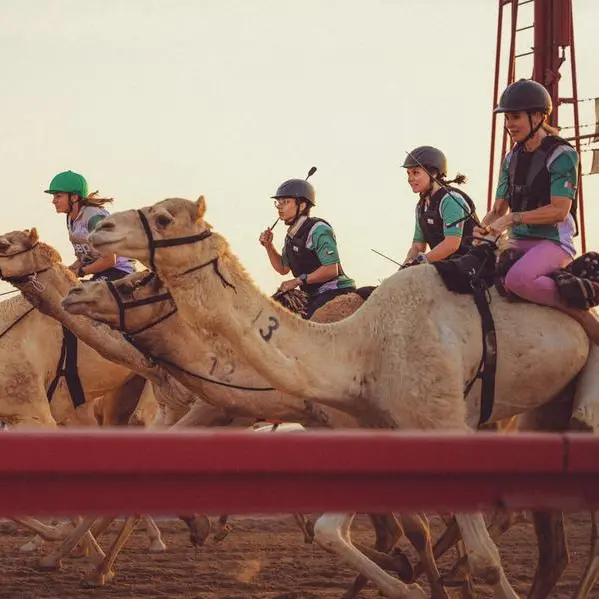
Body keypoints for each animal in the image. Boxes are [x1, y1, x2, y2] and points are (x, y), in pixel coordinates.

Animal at [85, 195, 599, 596]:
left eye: (164, 217)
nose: (99, 229)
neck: (361, 348)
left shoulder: (443, 424)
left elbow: (480, 557)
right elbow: (345, 529)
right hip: (544, 408)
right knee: (553, 553)